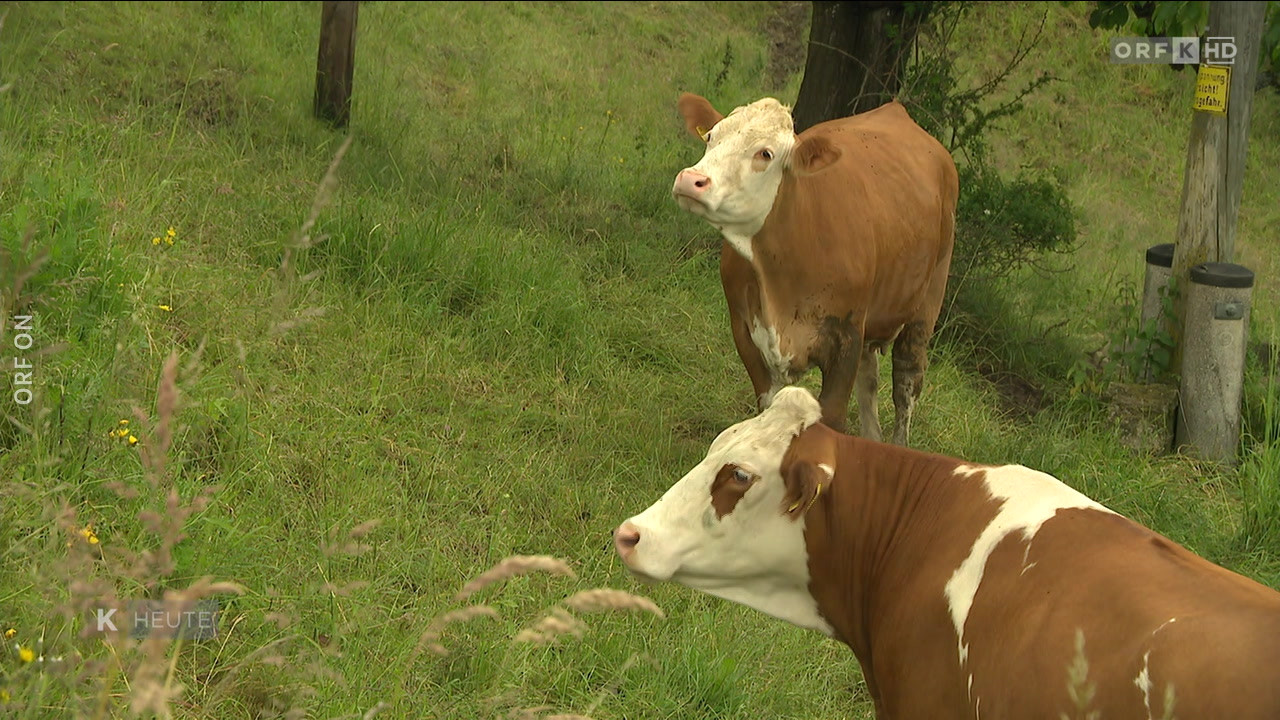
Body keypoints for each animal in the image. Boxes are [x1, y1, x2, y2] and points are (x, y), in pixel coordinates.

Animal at [670, 94, 962, 443]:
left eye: (765, 153)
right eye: (711, 137)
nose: (691, 180)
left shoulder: (846, 338)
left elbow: (833, 419)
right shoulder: (744, 330)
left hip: (926, 306)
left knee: (906, 383)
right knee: (870, 380)